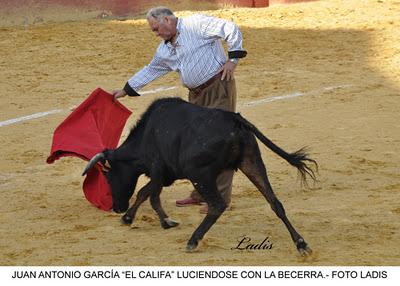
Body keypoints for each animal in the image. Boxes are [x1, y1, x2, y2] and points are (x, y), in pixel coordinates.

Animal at [83, 98, 318, 255]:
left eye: (108, 176)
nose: (116, 208)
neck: (146, 135)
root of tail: (234, 119)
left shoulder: (158, 170)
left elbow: (148, 194)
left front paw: (161, 221)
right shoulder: (164, 174)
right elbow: (146, 193)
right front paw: (134, 218)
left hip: (199, 174)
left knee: (217, 205)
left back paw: (193, 240)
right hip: (252, 163)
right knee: (275, 202)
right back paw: (301, 243)